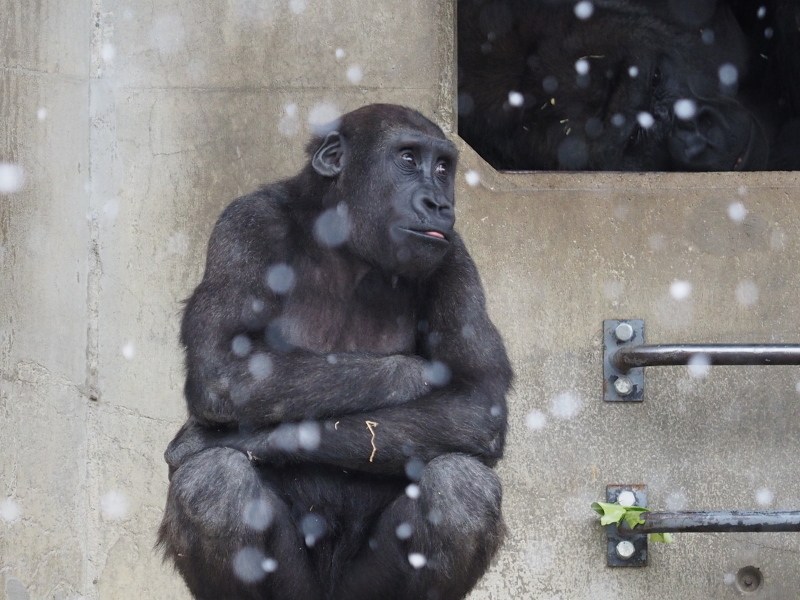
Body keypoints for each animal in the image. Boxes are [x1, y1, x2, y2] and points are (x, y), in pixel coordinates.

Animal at [156, 104, 512, 600]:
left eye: (443, 167)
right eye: (407, 158)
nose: (438, 203)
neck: (345, 244)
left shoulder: (455, 257)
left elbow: (478, 400)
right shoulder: (245, 224)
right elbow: (223, 367)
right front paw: (411, 373)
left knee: (460, 488)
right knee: (215, 484)